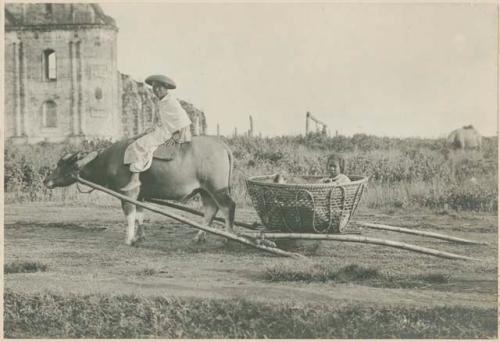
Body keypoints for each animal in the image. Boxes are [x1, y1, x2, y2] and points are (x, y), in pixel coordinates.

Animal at [43, 136, 236, 246]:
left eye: (61, 164)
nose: (46, 180)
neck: (109, 160)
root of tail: (223, 145)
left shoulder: (127, 193)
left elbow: (129, 214)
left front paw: (128, 239)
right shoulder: (140, 195)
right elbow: (140, 215)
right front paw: (140, 236)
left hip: (217, 188)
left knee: (228, 207)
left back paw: (227, 237)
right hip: (205, 190)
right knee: (211, 210)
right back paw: (199, 237)